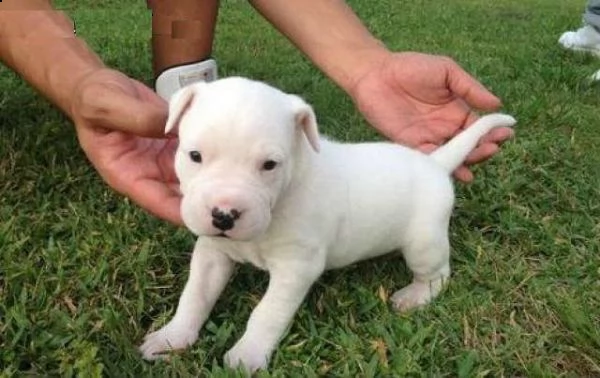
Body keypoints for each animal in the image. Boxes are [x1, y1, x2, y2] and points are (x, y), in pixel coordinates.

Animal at [139, 77, 516, 372]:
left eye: (269, 165)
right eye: (195, 156)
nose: (224, 215)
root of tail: (435, 164)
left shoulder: (296, 267)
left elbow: (268, 312)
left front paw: (248, 355)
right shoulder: (213, 253)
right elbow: (196, 295)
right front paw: (172, 337)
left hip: (424, 242)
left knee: (438, 274)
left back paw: (415, 295)